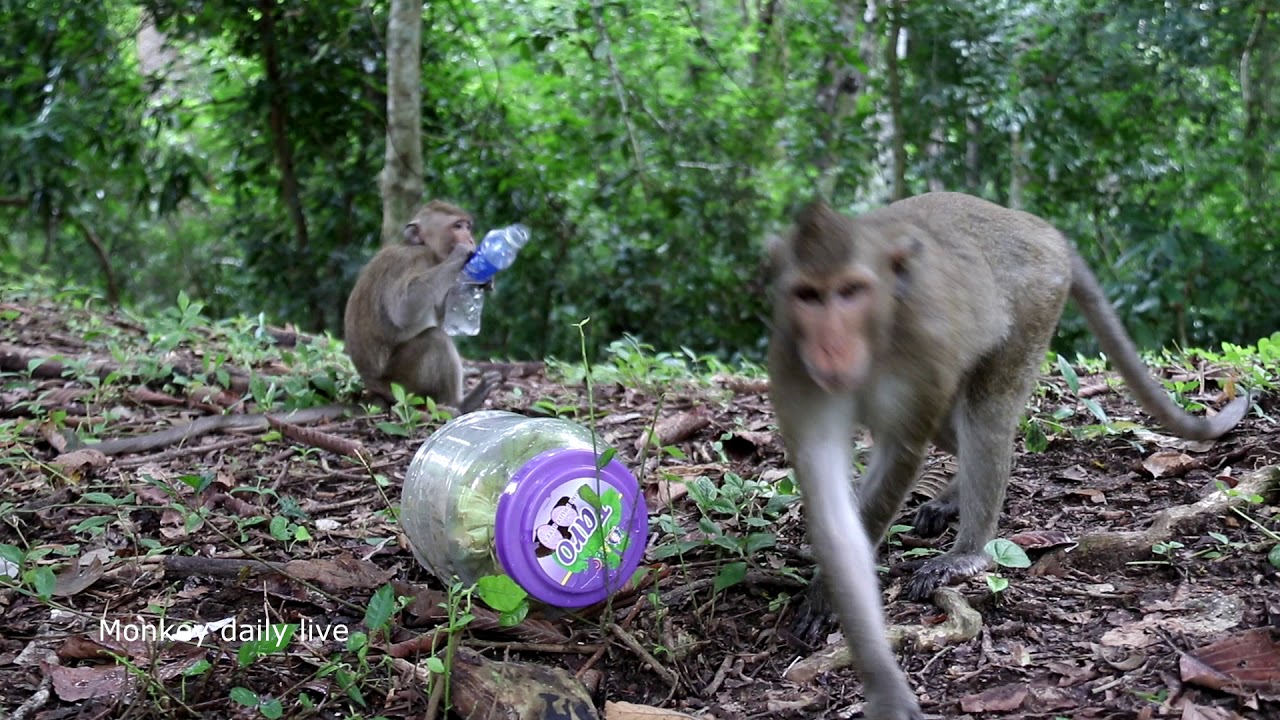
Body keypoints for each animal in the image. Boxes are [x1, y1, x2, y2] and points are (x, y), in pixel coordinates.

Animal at [343, 200, 496, 414]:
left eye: (468, 227)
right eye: (458, 226)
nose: (471, 239)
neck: (425, 249)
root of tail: (374, 388)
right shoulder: (412, 260)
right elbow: (404, 310)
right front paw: (461, 254)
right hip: (402, 385)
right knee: (436, 339)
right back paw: (460, 404)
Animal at [766, 191, 1251, 720]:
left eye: (851, 290)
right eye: (808, 295)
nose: (831, 346)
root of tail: (1038, 227)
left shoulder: (922, 347)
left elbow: (900, 454)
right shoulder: (793, 361)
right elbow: (828, 497)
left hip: (1035, 302)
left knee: (987, 412)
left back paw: (968, 553)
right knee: (953, 425)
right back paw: (952, 499)